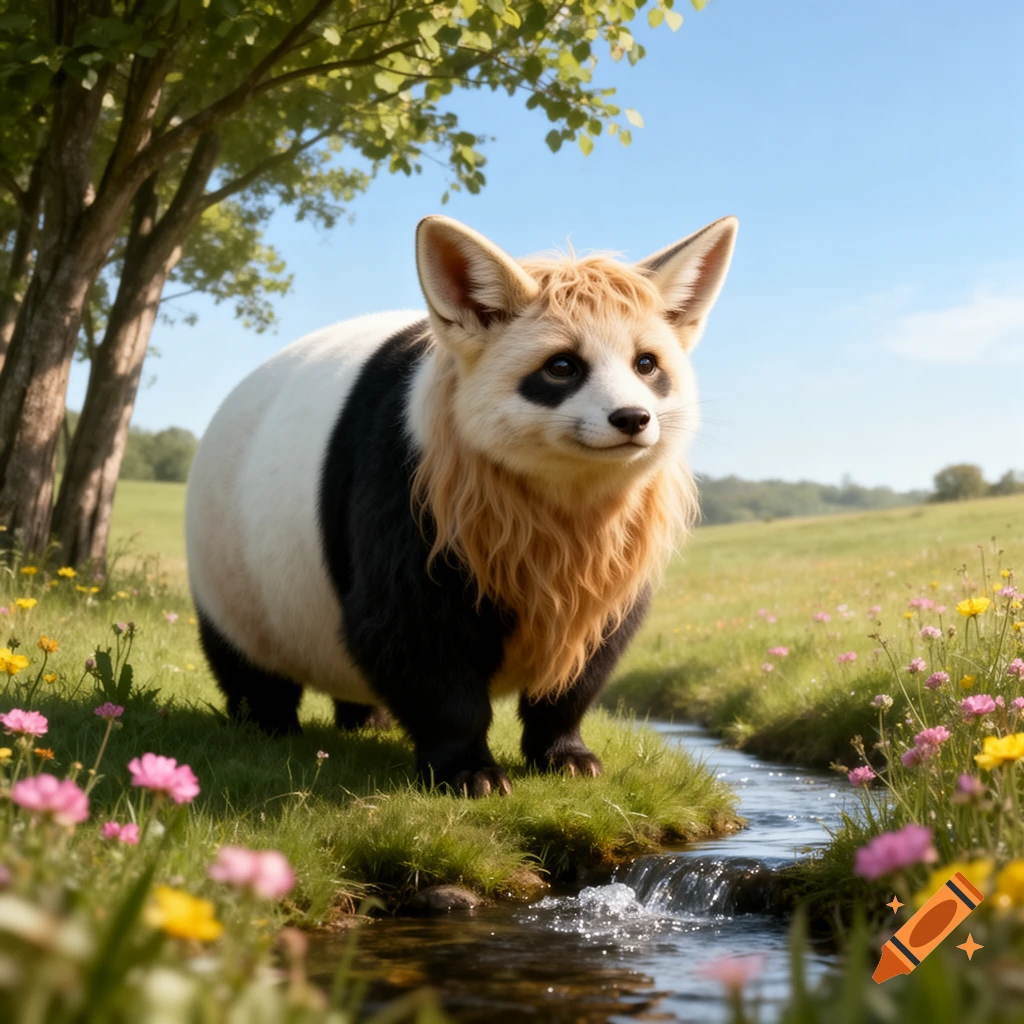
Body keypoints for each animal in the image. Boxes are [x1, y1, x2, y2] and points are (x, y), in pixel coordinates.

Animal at [185, 214, 737, 796]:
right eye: (562, 366)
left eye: (647, 364)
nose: (632, 418)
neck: (565, 493)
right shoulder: (416, 489)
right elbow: (414, 635)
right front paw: (471, 772)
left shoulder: (615, 553)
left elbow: (587, 658)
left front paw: (567, 758)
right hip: (228, 567)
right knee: (250, 662)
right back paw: (267, 725)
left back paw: (369, 720)